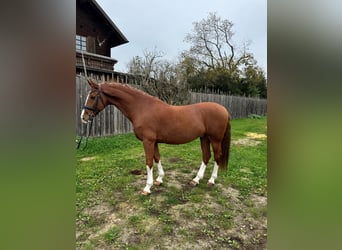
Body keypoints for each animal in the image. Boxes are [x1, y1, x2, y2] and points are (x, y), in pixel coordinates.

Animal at [81, 79, 231, 194]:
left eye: (93, 97)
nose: (84, 117)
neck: (142, 108)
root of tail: (223, 109)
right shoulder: (154, 142)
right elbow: (157, 158)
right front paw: (159, 180)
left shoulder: (148, 141)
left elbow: (149, 162)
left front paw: (147, 187)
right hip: (204, 138)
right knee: (206, 156)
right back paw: (196, 180)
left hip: (215, 139)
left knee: (217, 156)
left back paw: (211, 180)